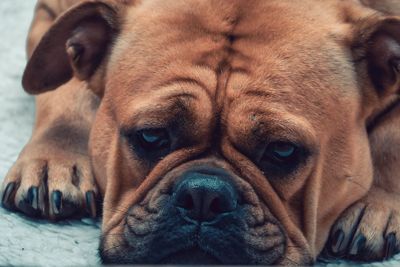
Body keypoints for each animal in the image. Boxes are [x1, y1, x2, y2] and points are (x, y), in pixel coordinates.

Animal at [0, 0, 400, 264]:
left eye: (283, 150)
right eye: (150, 136)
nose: (204, 196)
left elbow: (391, 135)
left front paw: (376, 204)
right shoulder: (50, 15)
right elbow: (65, 90)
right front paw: (54, 159)